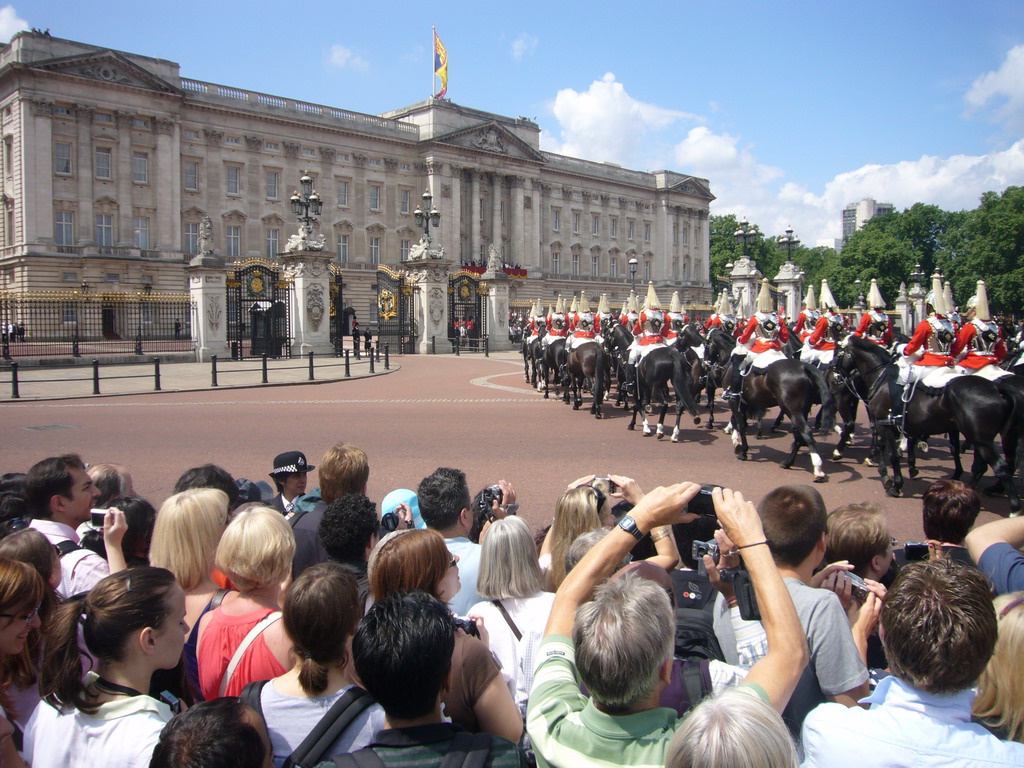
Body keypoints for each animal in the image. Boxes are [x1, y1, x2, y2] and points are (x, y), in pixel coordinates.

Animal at [835, 335, 1019, 512]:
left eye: (838, 353)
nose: (836, 376)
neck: (882, 376)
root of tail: (996, 388)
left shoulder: (885, 424)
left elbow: (892, 455)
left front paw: (896, 484)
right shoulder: (888, 425)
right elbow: (883, 448)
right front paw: (886, 475)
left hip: (981, 439)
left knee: (1000, 467)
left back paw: (1012, 507)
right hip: (994, 437)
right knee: (997, 464)